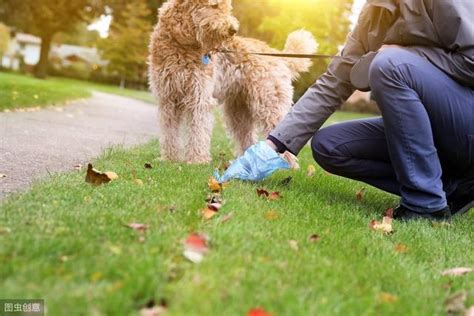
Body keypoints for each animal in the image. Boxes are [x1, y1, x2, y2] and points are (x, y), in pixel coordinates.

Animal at [150, 0, 316, 163]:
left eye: (227, 8)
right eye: (214, 6)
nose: (233, 30)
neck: (181, 43)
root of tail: (279, 56)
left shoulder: (200, 97)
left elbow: (198, 131)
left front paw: (197, 160)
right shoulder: (167, 98)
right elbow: (169, 132)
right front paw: (169, 159)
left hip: (269, 103)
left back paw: (287, 164)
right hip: (239, 111)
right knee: (247, 137)